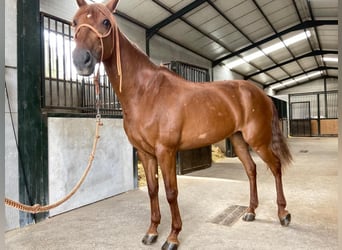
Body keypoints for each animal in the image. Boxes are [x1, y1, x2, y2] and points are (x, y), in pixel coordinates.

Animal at [71, 0, 292, 249]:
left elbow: (170, 192)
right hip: (238, 139)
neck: (146, 92)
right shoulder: (145, 153)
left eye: (106, 22)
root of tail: (262, 94)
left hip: (259, 140)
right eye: (75, 22)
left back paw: (283, 214)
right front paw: (152, 232)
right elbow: (152, 190)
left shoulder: (166, 151)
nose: (81, 60)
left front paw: (172, 236)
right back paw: (251, 211)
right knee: (251, 169)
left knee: (276, 167)